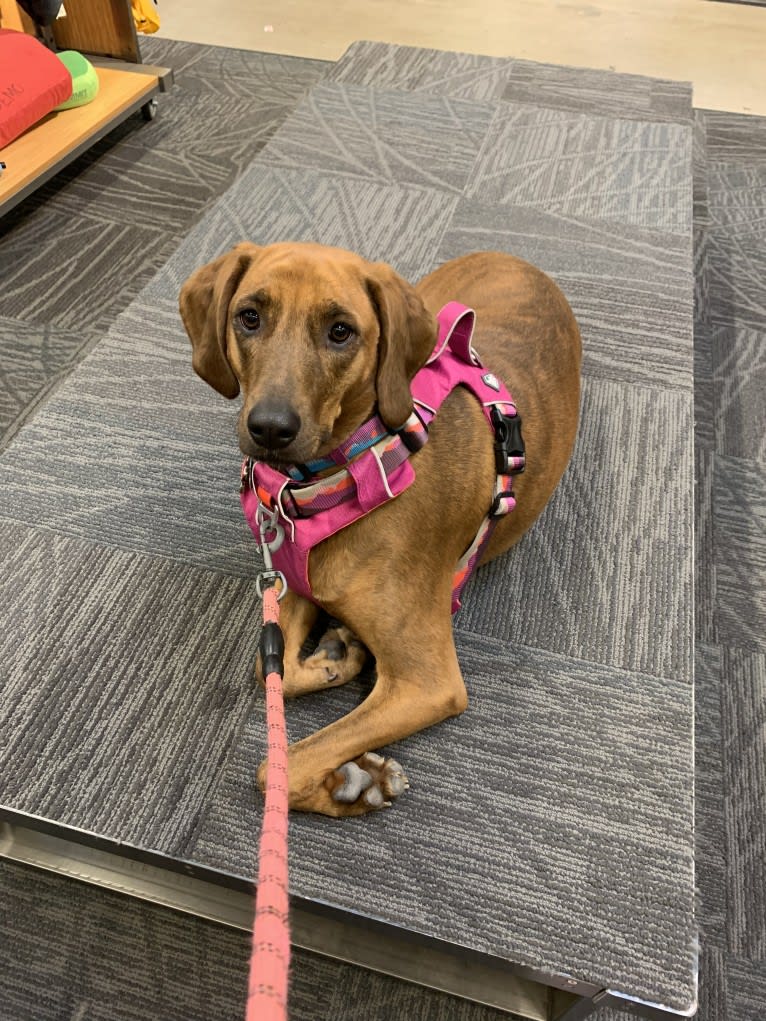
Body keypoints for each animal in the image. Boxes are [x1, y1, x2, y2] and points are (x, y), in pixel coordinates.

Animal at [179, 242, 580, 816]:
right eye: (249, 317)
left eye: (341, 331)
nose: (270, 429)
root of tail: (513, 256)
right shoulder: (291, 582)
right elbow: (269, 668)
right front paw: (335, 660)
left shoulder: (427, 682)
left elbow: (275, 767)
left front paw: (354, 783)